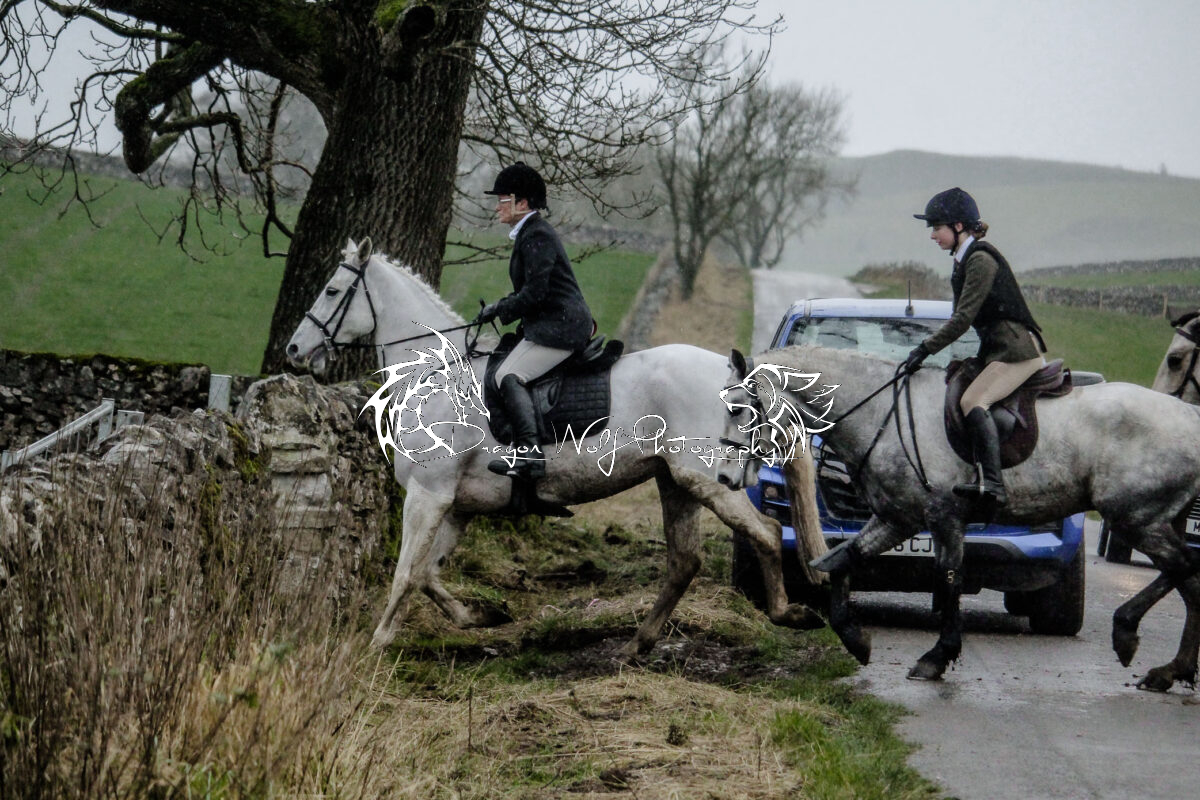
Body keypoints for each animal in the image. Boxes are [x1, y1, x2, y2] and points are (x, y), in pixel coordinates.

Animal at [285, 238, 823, 656]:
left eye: (331, 290)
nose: (293, 350)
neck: (436, 376)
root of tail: (740, 376)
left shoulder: (428, 493)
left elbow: (405, 573)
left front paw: (374, 645)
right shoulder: (457, 504)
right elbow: (427, 573)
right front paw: (480, 616)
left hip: (708, 479)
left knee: (767, 532)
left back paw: (789, 613)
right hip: (676, 481)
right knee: (685, 560)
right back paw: (638, 644)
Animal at [718, 344, 1200, 690]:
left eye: (738, 408)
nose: (724, 476)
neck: (878, 413)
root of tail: (1190, 416)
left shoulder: (942, 516)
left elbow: (949, 577)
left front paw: (936, 657)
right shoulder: (897, 518)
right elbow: (842, 561)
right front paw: (857, 640)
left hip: (1135, 515)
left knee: (1184, 571)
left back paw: (1131, 636)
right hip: (1152, 518)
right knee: (1188, 578)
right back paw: (1169, 669)